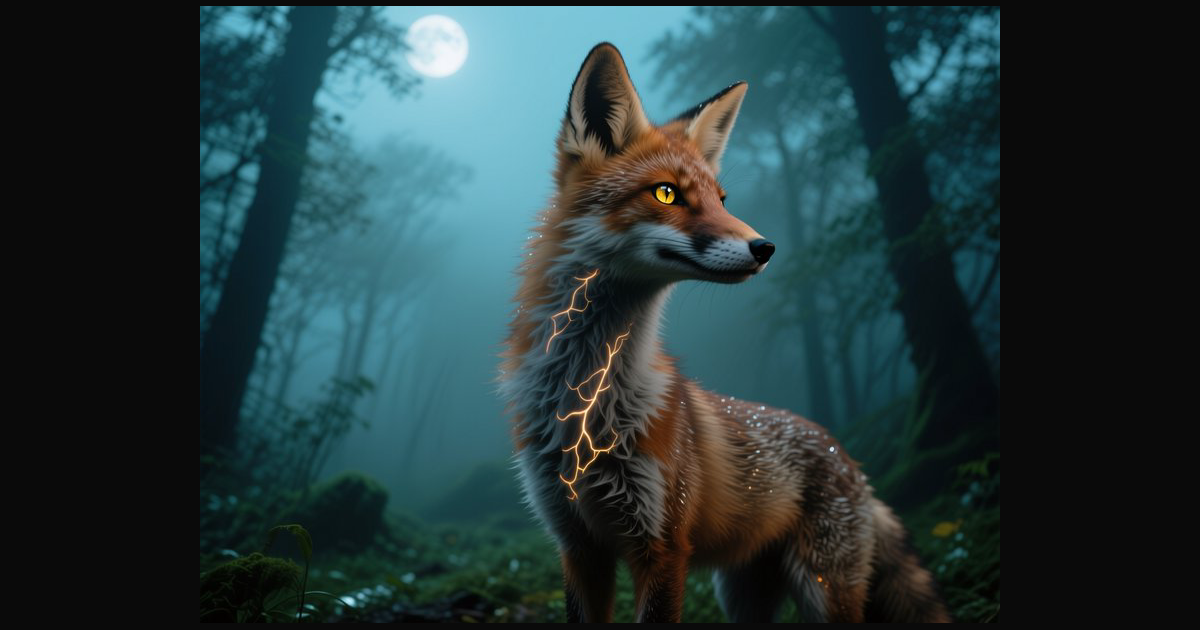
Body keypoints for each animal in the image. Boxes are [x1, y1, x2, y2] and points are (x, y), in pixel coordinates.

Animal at [497, 43, 950, 623]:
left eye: (721, 199)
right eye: (666, 193)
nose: (766, 247)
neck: (586, 404)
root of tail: (851, 459)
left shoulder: (663, 546)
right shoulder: (577, 545)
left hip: (823, 592)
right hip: (741, 597)